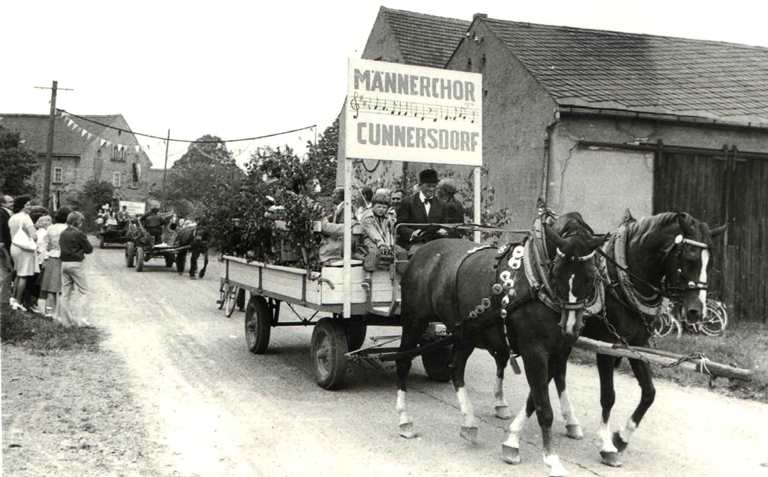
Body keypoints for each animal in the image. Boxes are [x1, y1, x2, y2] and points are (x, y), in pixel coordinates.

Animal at [396, 212, 608, 476]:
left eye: (590, 277)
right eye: (556, 273)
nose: (570, 326)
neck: (537, 283)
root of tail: (422, 252)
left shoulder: (558, 351)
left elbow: (534, 398)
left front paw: (512, 441)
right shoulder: (534, 351)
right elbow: (543, 407)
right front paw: (551, 459)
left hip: (465, 331)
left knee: (456, 368)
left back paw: (468, 423)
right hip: (414, 321)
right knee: (403, 361)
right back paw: (404, 420)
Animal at [568, 211, 728, 464]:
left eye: (710, 263)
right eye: (690, 259)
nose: (697, 312)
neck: (621, 277)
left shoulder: (635, 345)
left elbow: (649, 393)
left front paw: (621, 437)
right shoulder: (607, 346)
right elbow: (608, 396)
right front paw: (606, 445)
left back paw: (570, 423)